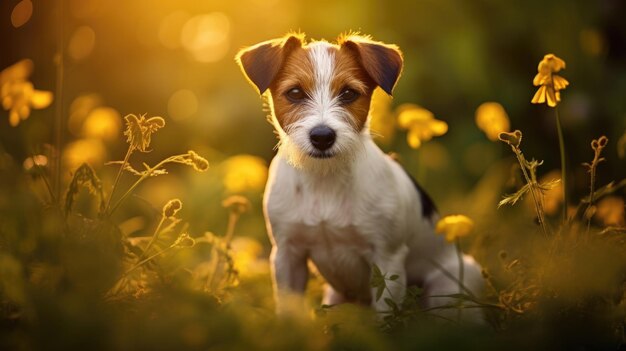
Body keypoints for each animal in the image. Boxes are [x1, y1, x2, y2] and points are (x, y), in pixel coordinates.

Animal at [234, 33, 482, 322]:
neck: (324, 178)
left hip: (449, 287)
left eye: (349, 93)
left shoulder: (387, 259)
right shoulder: (287, 255)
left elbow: (386, 316)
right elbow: (289, 309)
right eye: (294, 92)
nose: (322, 137)